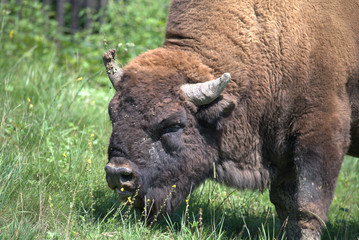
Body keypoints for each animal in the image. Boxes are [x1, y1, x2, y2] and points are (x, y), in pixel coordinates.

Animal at [101, 0, 359, 239]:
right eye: (112, 114)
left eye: (173, 125)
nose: (117, 172)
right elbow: (286, 206)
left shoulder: (320, 137)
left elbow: (308, 205)